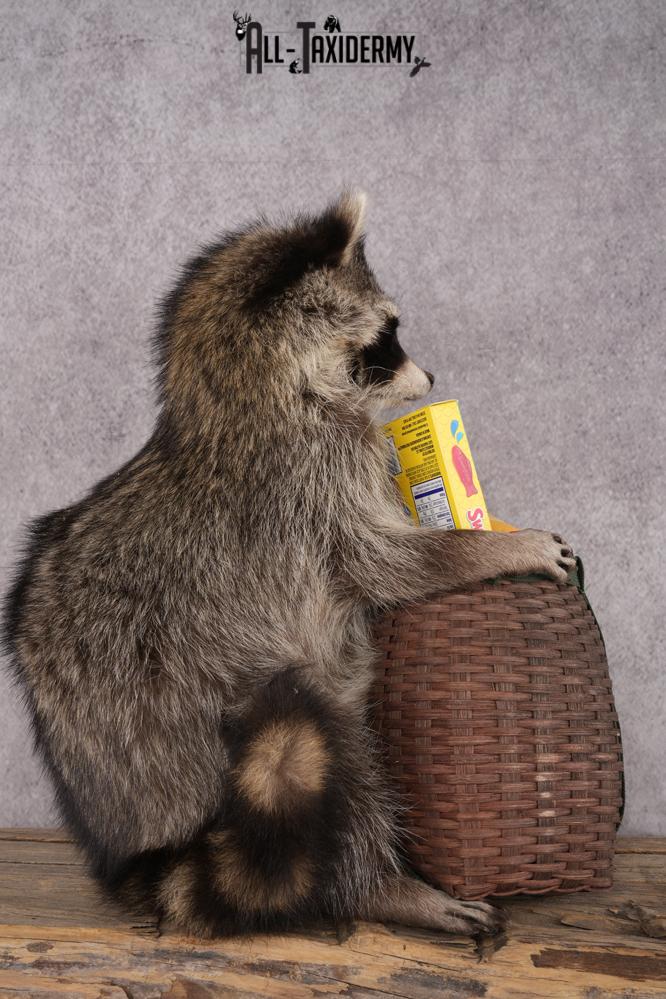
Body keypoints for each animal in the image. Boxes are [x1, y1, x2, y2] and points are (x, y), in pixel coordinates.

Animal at [3, 192, 575, 937]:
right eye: (388, 335)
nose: (432, 379)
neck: (240, 395)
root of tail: (142, 838)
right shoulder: (313, 479)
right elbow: (389, 564)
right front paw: (496, 547)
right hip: (215, 713)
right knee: (339, 757)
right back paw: (381, 885)